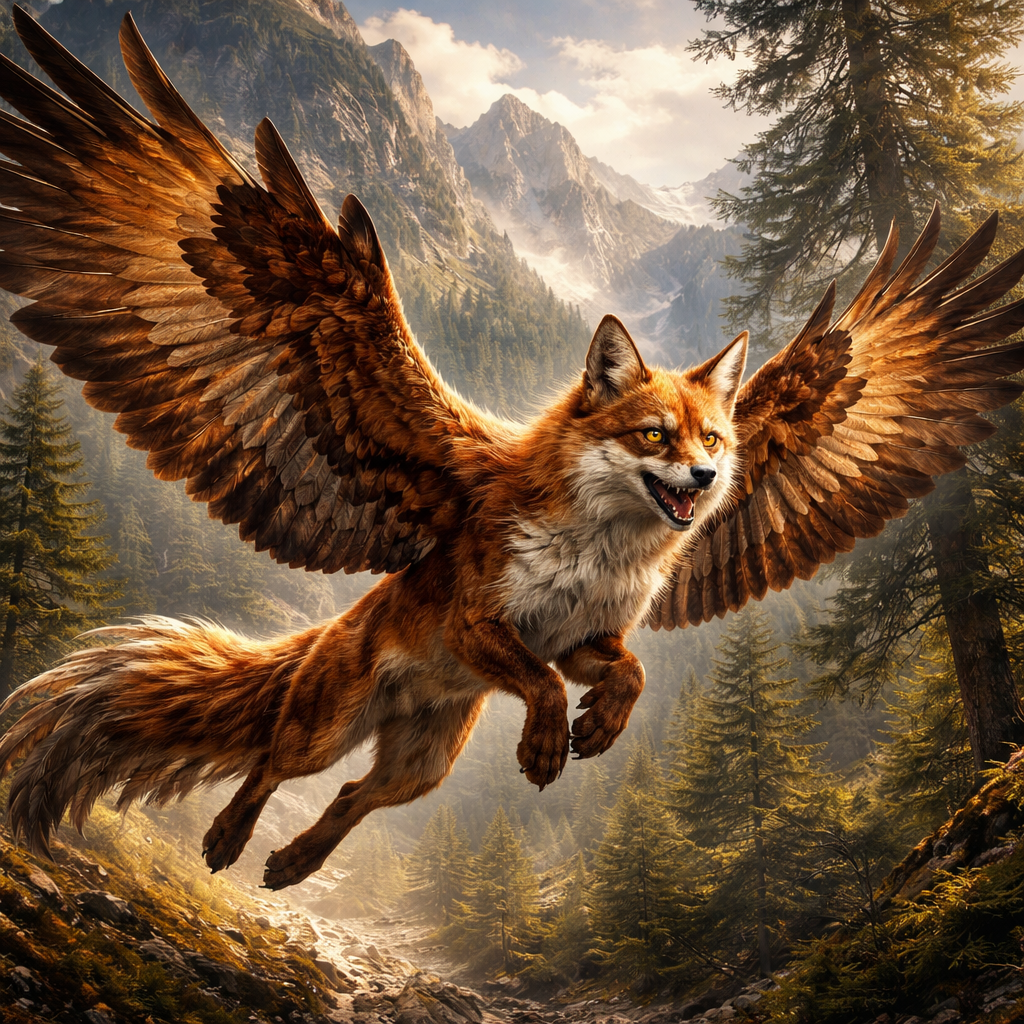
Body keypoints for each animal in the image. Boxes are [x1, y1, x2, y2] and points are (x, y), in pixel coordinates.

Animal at [2, 7, 1024, 890]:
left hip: (423, 762)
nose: (702, 481)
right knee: (269, 766)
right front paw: (545, 742)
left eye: (717, 441)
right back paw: (226, 839)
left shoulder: (585, 638)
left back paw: (291, 864)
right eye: (654, 435)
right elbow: (533, 686)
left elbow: (632, 673)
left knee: (349, 796)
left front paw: (599, 728)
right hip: (329, 722)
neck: (600, 549)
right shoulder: (486, 626)